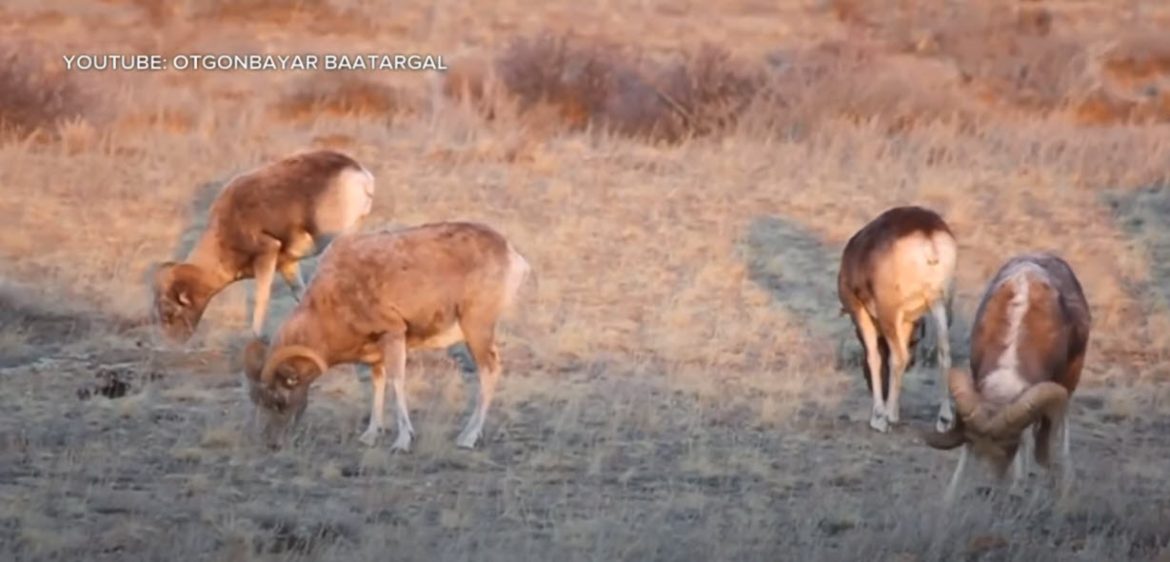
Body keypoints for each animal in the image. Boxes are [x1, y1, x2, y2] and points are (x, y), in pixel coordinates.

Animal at [151, 149, 375, 343]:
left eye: (168, 312)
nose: (173, 343)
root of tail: (359, 175)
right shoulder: (287, 265)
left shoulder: (266, 255)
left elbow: (262, 298)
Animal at [241, 221, 532, 451]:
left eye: (280, 402)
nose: (272, 444)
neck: (335, 296)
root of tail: (512, 255)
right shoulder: (377, 353)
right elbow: (378, 385)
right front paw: (370, 435)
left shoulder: (393, 335)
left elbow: (396, 382)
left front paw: (402, 441)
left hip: (476, 331)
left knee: (489, 370)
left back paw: (468, 438)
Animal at [837, 205, 958, 433]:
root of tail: (927, 233)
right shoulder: (908, 320)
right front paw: (893, 412)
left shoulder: (861, 311)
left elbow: (875, 357)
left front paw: (881, 417)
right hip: (940, 304)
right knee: (944, 353)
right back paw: (944, 420)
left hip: (889, 311)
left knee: (900, 356)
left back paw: (883, 418)